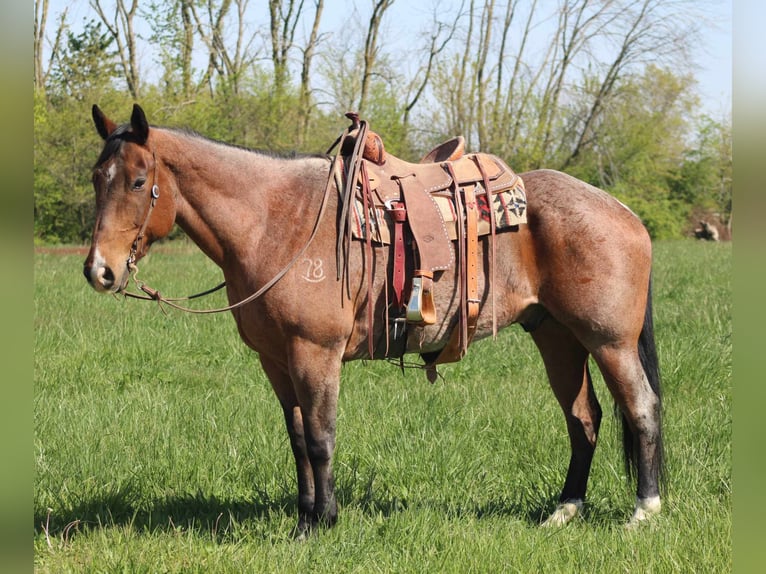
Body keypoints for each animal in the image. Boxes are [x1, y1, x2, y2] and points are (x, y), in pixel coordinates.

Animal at [81, 104, 664, 540]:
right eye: (96, 179)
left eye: (138, 181)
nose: (99, 271)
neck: (275, 222)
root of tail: (622, 211)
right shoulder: (276, 361)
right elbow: (297, 438)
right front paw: (303, 520)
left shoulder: (315, 352)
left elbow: (321, 437)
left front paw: (324, 523)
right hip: (557, 337)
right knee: (583, 418)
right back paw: (564, 511)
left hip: (609, 341)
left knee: (641, 407)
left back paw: (645, 511)